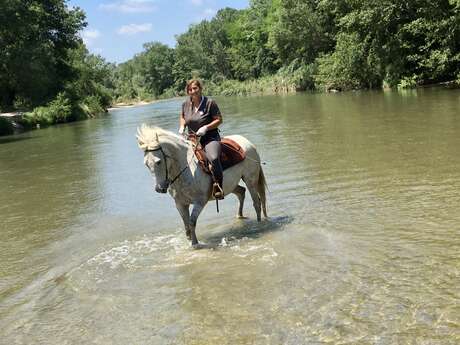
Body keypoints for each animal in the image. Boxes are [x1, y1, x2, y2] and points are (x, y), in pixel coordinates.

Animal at [135, 123, 268, 245]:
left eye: (158, 162)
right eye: (146, 164)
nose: (159, 188)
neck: (187, 169)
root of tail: (248, 143)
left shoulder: (199, 202)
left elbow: (192, 222)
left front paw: (195, 244)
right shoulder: (180, 204)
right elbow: (186, 224)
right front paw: (189, 240)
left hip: (250, 180)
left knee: (257, 202)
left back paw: (259, 224)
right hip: (230, 185)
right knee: (241, 192)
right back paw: (239, 216)